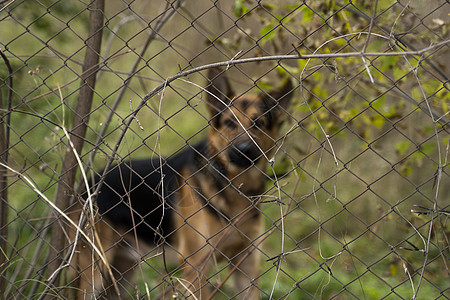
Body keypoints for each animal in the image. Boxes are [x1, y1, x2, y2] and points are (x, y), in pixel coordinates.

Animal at [69, 68, 294, 300]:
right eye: (230, 123)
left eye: (259, 124)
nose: (243, 149)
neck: (235, 185)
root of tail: (86, 185)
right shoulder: (197, 266)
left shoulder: (247, 266)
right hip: (94, 274)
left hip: (119, 275)